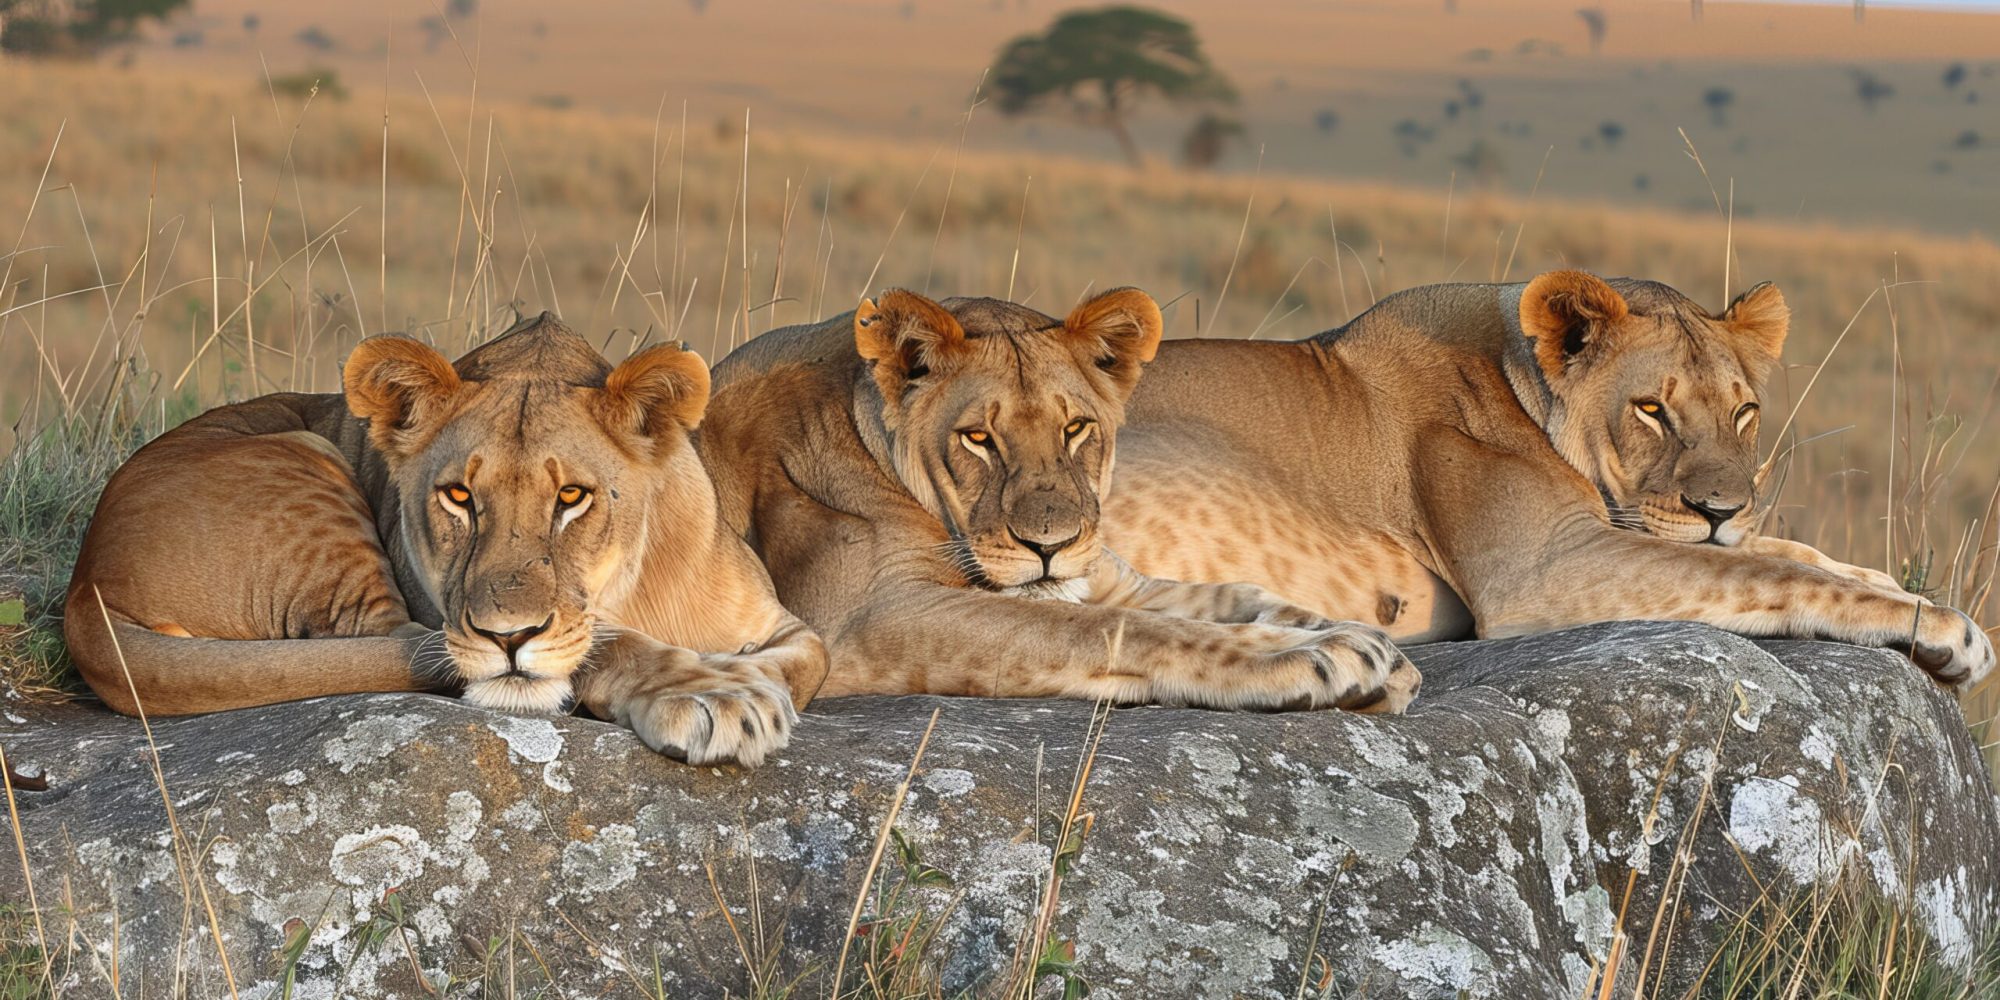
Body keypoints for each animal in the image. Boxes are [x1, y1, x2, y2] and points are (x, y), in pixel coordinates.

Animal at [64, 314, 827, 766]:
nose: (506, 638)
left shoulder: (787, 625)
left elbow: (805, 661)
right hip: (310, 454)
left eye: (571, 498)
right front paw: (714, 694)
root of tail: (84, 589)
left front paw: (742, 679)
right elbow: (610, 643)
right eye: (459, 496)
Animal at [698, 288, 1419, 711]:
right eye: (979, 438)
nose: (1051, 546)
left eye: (1075, 428)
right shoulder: (861, 619)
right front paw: (1306, 657)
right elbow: (1106, 628)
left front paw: (1373, 651)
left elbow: (1239, 596)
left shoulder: (1113, 578)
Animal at [1098, 270, 1993, 687]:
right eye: (1651, 410)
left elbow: (1782, 552)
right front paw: (1944, 627)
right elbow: (1760, 571)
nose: (1721, 507)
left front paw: (1888, 580)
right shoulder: (1541, 569)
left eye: (1745, 412)